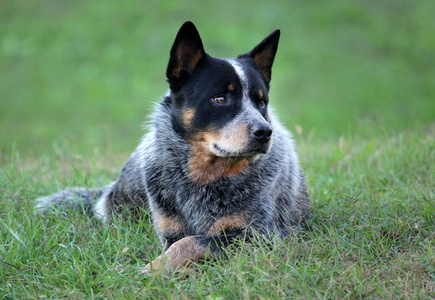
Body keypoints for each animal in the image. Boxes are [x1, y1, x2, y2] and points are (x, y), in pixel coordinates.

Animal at [36, 21, 310, 274]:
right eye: (220, 98)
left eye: (261, 102)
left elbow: (190, 243)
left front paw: (151, 271)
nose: (264, 132)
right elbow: (180, 243)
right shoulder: (170, 230)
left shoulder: (256, 236)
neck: (203, 179)